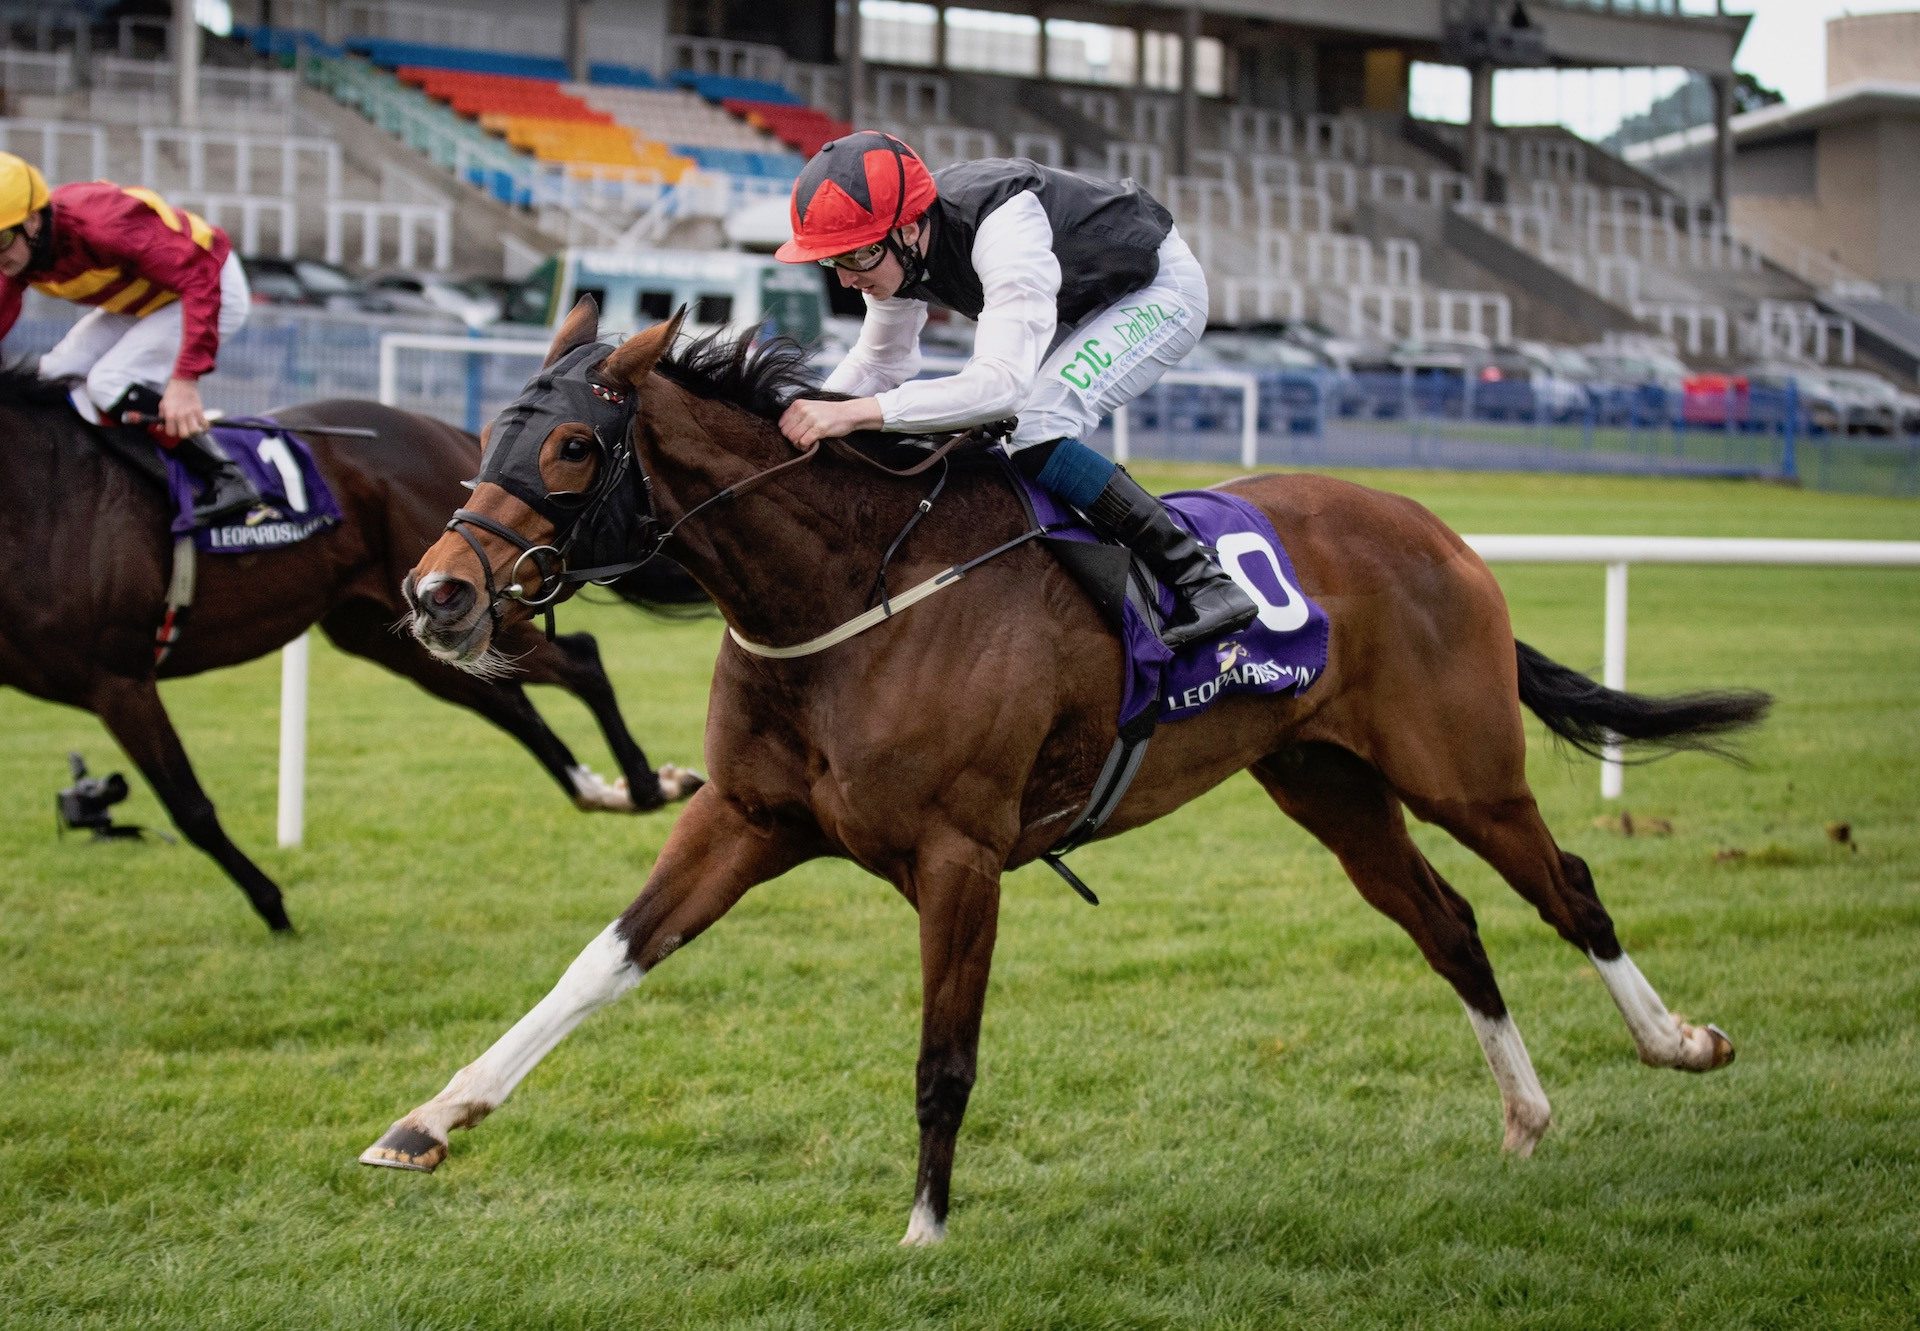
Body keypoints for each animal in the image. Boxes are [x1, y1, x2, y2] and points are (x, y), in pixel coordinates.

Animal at [0, 366, 702, 933]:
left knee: (578, 658)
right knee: (507, 704)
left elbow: (191, 807)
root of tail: (465, 444)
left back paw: (643, 785)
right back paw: (605, 790)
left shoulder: (118, 679)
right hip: (395, 629)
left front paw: (274, 908)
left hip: (461, 606)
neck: (47, 496)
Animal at [360, 303, 1766, 1244]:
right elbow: (597, 966)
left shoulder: (960, 856)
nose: (436, 595)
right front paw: (426, 1120)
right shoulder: (748, 817)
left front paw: (925, 1230)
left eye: (571, 451)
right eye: (488, 430)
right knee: (1450, 922)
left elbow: (945, 1053)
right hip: (1327, 779)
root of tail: (1436, 529)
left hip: (1460, 767)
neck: (847, 595)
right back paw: (1526, 1113)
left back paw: (1680, 1041)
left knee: (1567, 886)